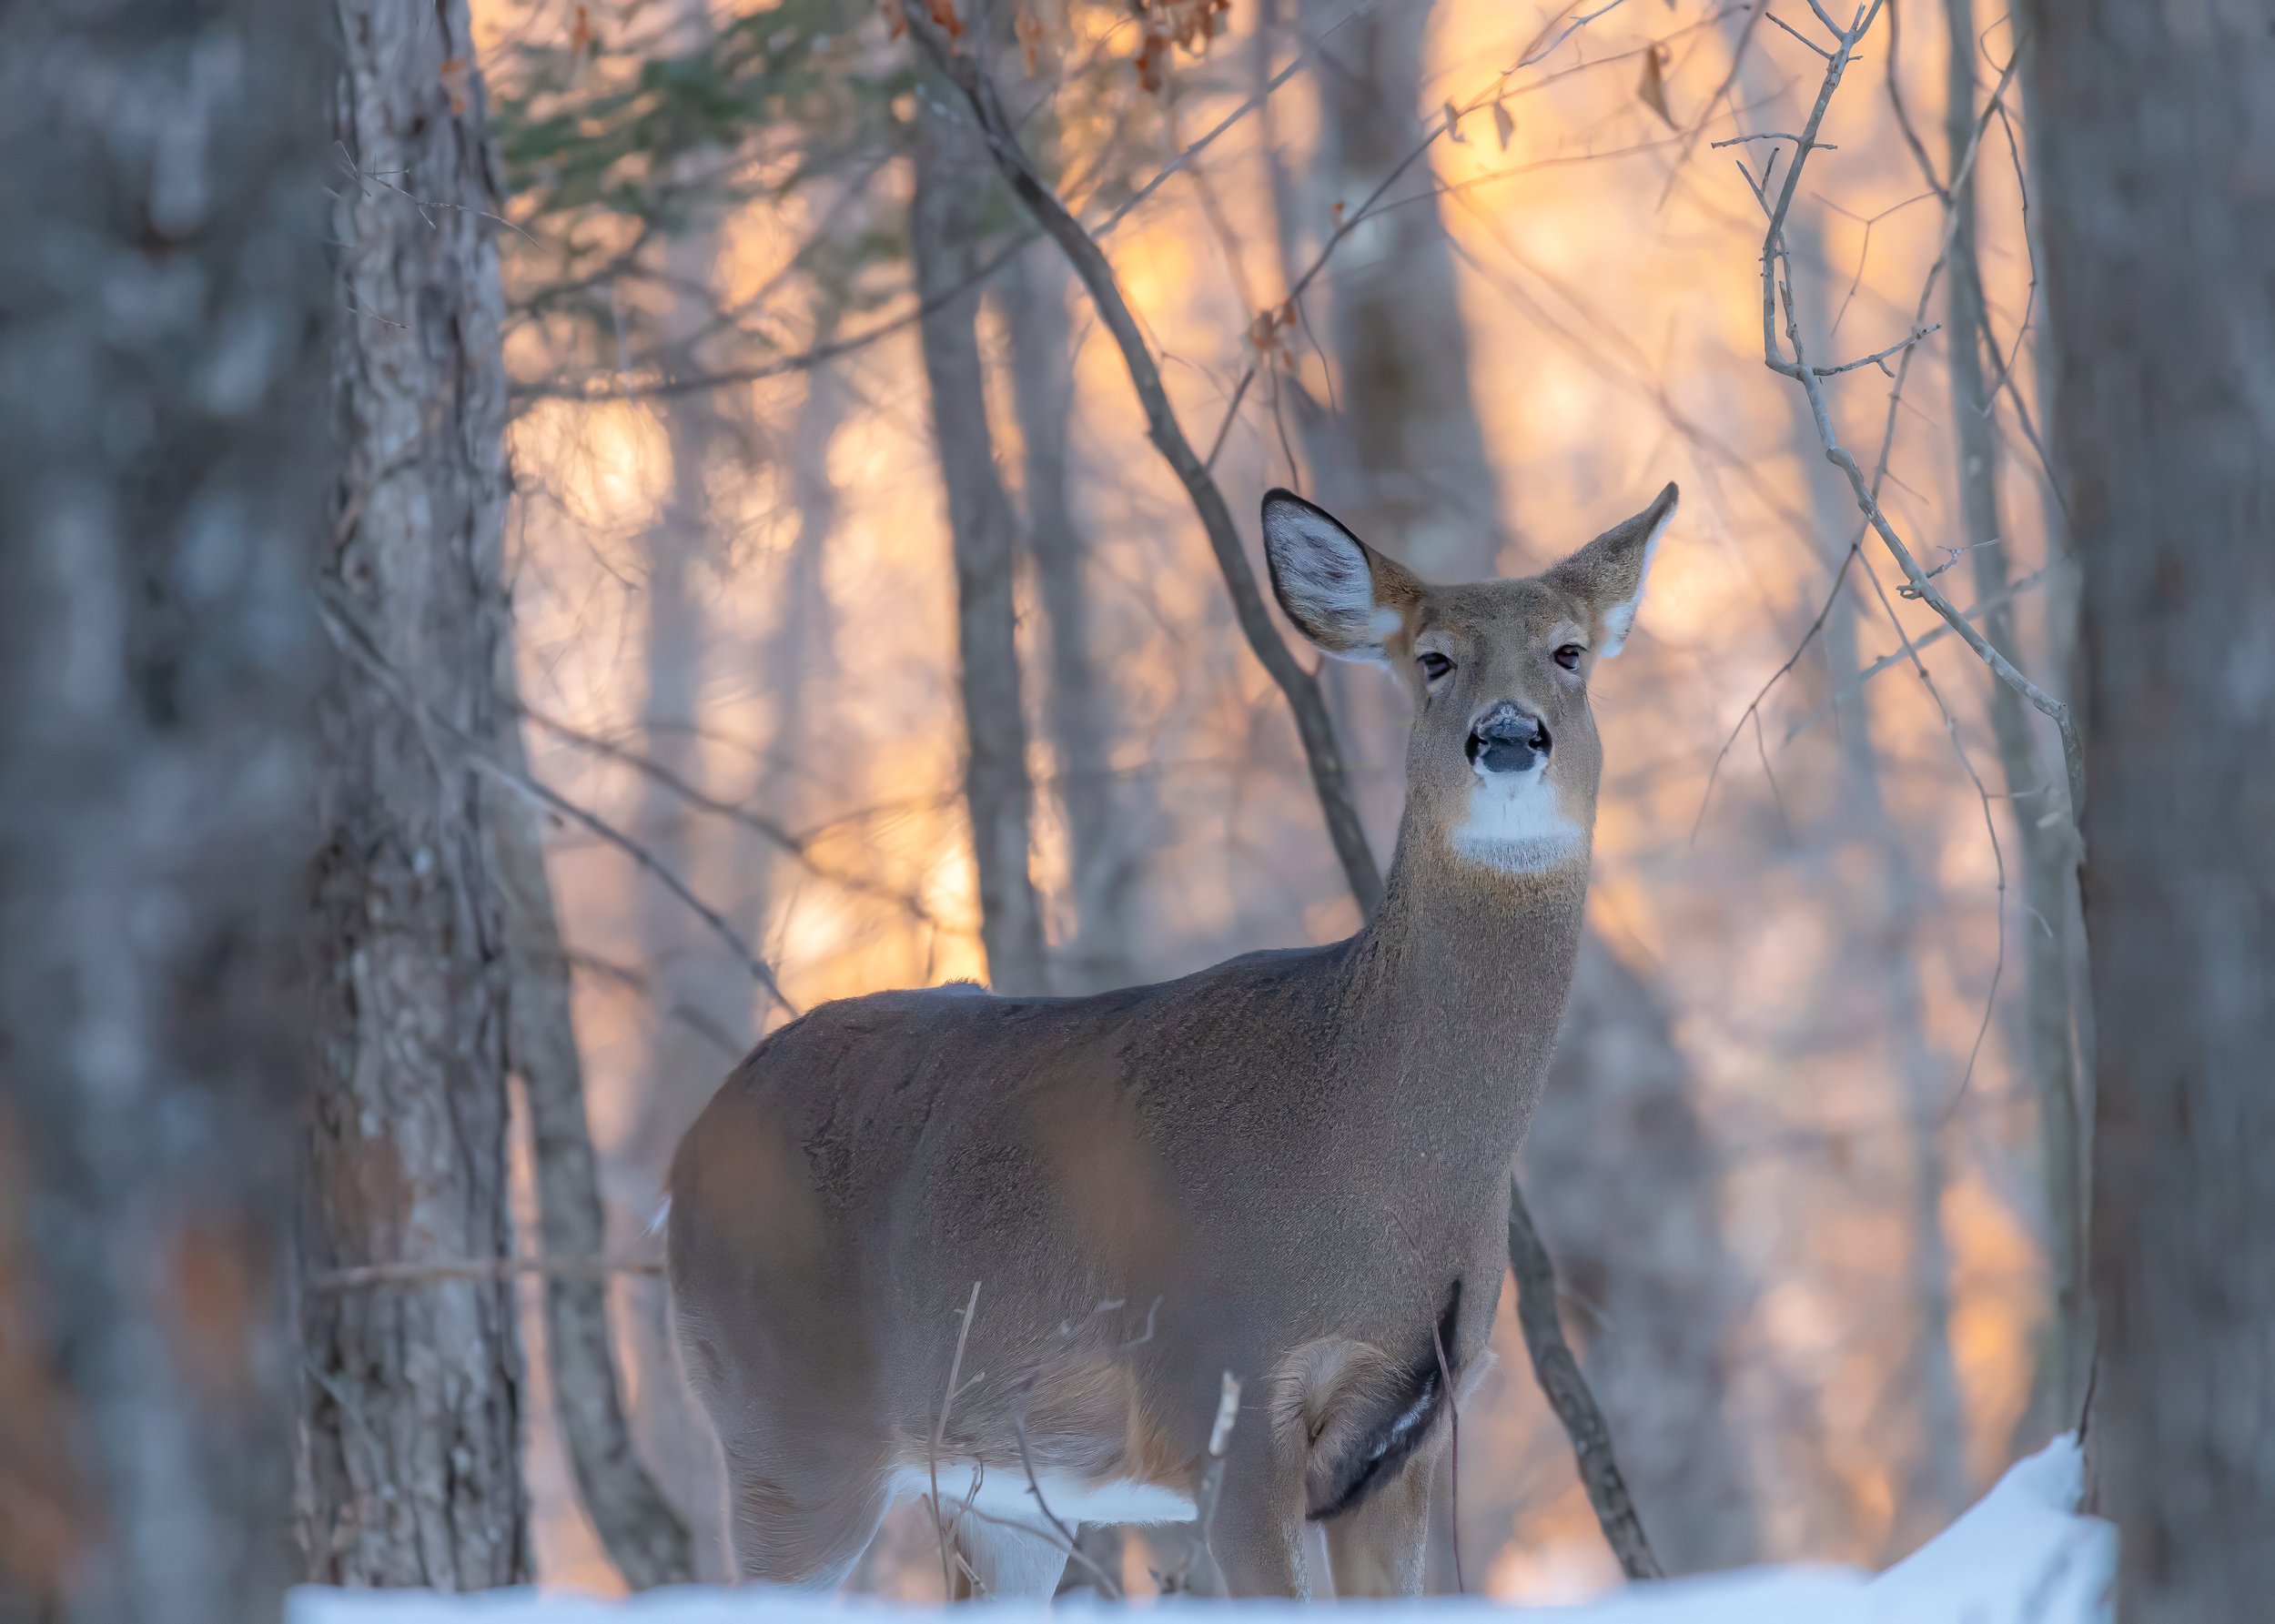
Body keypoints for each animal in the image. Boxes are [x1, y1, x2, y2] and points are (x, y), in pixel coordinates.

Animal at [666, 480, 1680, 1599]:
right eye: (1433, 658)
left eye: (1568, 651)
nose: (1507, 736)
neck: (1376, 1138)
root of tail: (686, 1154)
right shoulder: (1216, 1387)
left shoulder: (1405, 1441)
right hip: (787, 1431)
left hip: (992, 1489)